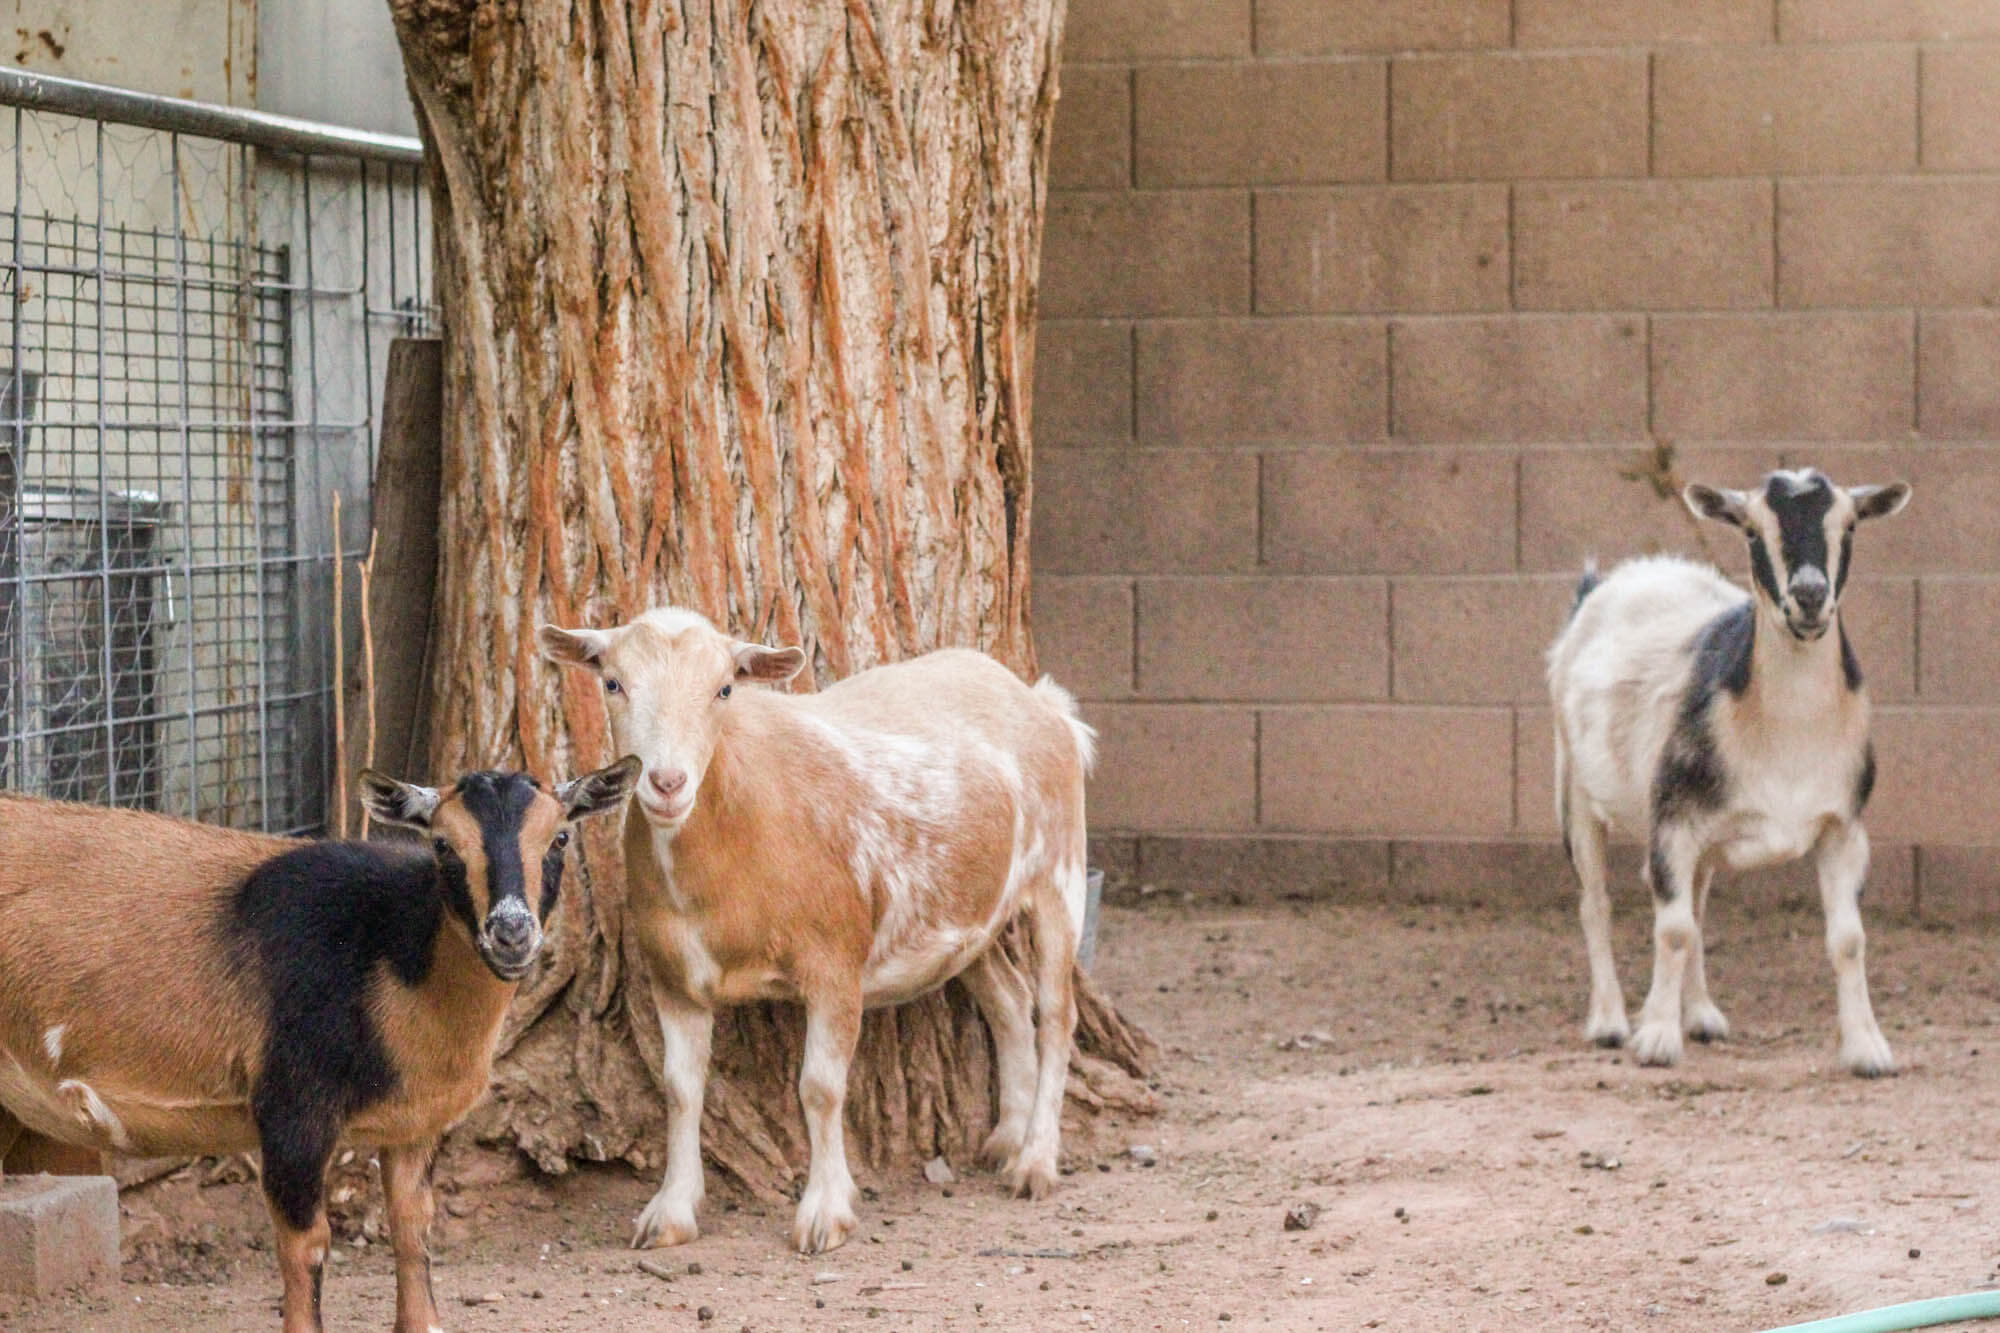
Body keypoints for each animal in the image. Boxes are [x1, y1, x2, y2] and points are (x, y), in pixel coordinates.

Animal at [0, 756, 636, 1328]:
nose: (510, 933)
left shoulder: (417, 1126)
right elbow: (306, 1247)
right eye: (443, 845)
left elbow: (414, 1229)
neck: (386, 951)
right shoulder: (292, 1111)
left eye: (560, 837)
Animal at [540, 608, 1096, 1248]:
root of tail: (1039, 699)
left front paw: (825, 1213)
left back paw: (1035, 1163)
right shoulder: (674, 976)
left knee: (1056, 1013)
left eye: (724, 689)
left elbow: (821, 1088)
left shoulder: (834, 962)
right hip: (970, 913)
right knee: (1008, 1000)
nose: (667, 783)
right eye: (612, 682)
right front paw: (670, 1212)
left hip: (1061, 868)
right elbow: (680, 1089)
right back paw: (1006, 1140)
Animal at [1544, 464, 1904, 1072]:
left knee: (1696, 904)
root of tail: (1611, 583)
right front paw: (1656, 1040)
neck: (1788, 737)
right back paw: (1610, 1022)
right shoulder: (1672, 821)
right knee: (1596, 903)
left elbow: (1847, 938)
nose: (1809, 596)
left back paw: (1701, 1015)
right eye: (1752, 532)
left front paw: (1867, 1049)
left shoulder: (1843, 827)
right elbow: (1671, 929)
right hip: (1574, 786)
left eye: (1850, 525)